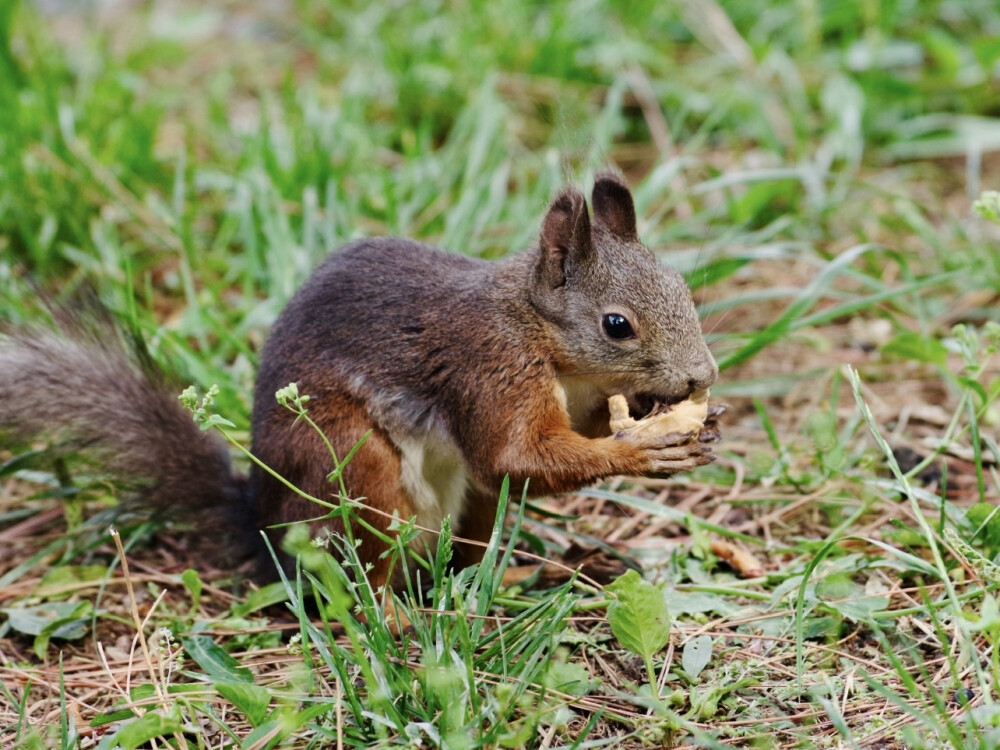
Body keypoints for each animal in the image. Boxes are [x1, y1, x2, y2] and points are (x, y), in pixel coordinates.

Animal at [0, 173, 720, 604]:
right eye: (616, 325)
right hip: (354, 472)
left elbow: (542, 457)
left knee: (454, 556)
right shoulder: (488, 366)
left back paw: (513, 575)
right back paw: (400, 620)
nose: (702, 377)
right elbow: (514, 455)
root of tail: (264, 527)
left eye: (682, 287)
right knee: (361, 581)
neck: (541, 333)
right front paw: (643, 449)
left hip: (468, 509)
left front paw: (683, 421)